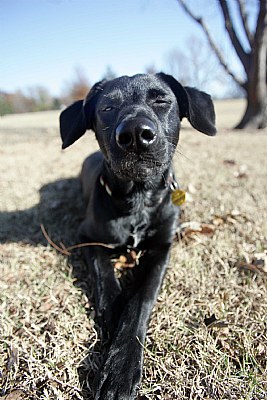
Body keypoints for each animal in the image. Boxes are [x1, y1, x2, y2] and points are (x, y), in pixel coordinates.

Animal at [59, 72, 217, 400]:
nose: (134, 133)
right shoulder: (87, 237)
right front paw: (112, 310)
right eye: (107, 108)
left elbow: (141, 300)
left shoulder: (162, 248)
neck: (139, 201)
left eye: (161, 100)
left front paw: (120, 367)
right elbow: (104, 274)